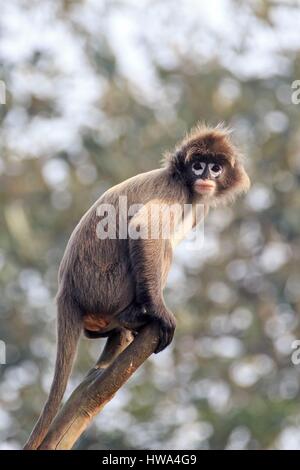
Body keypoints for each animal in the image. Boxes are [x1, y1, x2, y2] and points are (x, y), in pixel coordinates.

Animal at [24, 124, 251, 448]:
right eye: (197, 165)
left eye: (215, 167)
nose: (206, 175)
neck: (184, 183)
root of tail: (66, 292)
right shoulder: (175, 192)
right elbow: (144, 230)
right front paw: (158, 312)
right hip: (107, 286)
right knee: (163, 247)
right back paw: (132, 317)